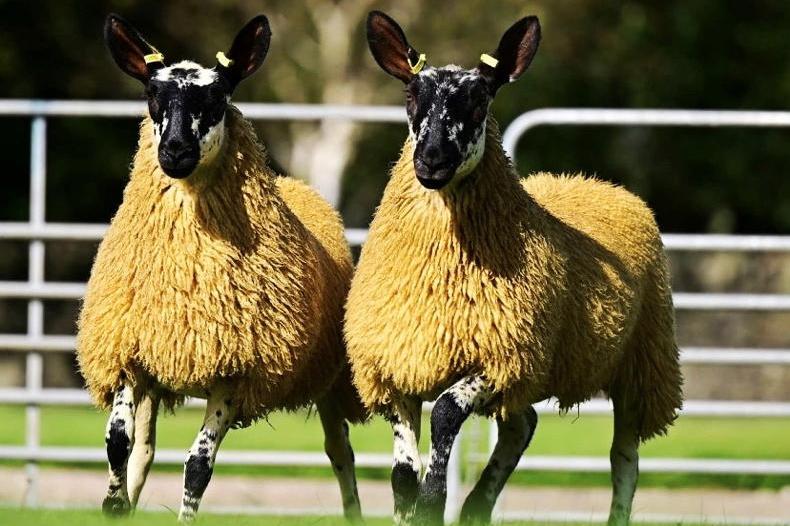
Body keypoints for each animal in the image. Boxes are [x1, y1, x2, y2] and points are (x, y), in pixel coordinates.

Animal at [77, 14, 365, 523]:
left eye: (217, 98)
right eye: (153, 94)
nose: (174, 151)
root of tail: (299, 187)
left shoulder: (237, 373)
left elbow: (198, 465)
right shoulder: (129, 352)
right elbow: (119, 442)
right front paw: (113, 503)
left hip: (330, 378)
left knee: (340, 452)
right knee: (145, 449)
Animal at [344, 11, 683, 526]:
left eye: (480, 98)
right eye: (411, 94)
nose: (432, 160)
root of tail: (596, 183)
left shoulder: (500, 354)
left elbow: (445, 415)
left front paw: (433, 501)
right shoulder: (397, 365)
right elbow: (401, 475)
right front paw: (416, 505)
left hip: (642, 364)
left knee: (624, 459)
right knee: (523, 424)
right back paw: (478, 505)